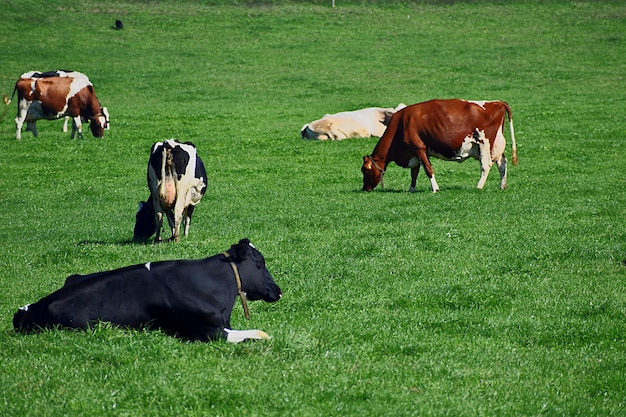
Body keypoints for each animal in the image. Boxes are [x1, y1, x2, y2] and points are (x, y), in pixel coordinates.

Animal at [360, 100, 516, 193]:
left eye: (365, 170)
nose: (365, 188)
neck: (402, 123)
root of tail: (496, 102)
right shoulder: (415, 152)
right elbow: (415, 172)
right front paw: (411, 189)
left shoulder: (419, 148)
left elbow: (428, 169)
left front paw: (435, 188)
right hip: (496, 145)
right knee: (502, 163)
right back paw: (502, 186)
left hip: (484, 143)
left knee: (486, 165)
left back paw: (478, 187)